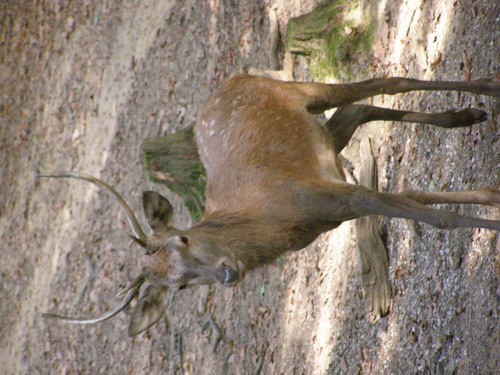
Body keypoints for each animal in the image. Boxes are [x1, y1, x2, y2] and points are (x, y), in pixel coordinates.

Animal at [40, 74, 500, 338]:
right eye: (179, 287)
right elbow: (414, 198)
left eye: (182, 239)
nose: (227, 272)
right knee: (360, 107)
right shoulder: (334, 202)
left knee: (387, 80)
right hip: (325, 139)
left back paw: (485, 90)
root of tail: (230, 80)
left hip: (298, 90)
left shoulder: (332, 195)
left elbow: (438, 217)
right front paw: (492, 195)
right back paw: (464, 116)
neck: (282, 226)